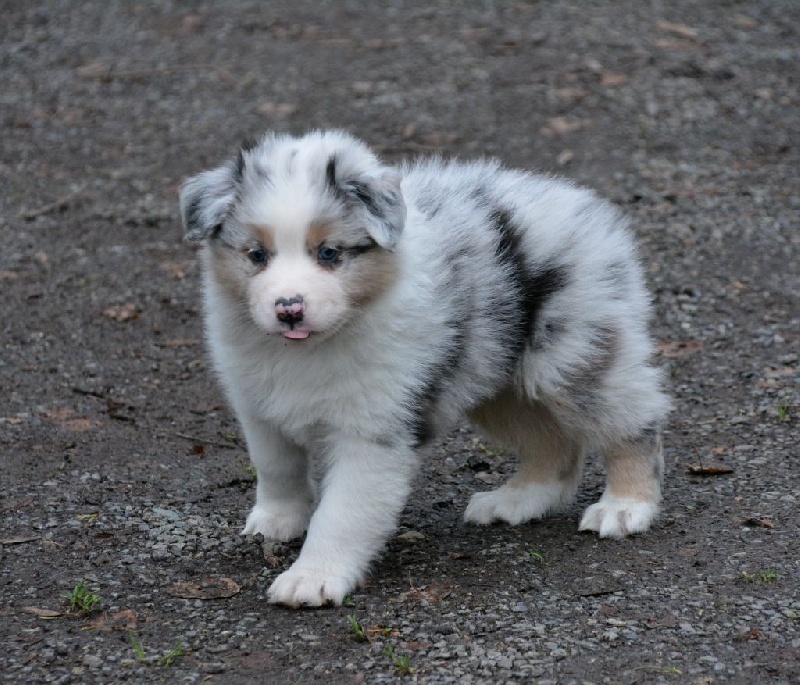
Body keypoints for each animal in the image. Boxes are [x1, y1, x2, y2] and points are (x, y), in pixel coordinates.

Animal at [179, 130, 671, 607]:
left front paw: (312, 579)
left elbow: (342, 512)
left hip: (578, 357)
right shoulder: (258, 407)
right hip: (498, 379)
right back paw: (514, 501)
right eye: (256, 255)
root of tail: (577, 199)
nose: (289, 310)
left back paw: (625, 507)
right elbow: (276, 468)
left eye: (330, 253)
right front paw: (277, 521)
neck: (311, 349)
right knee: (554, 446)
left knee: (634, 424)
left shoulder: (373, 433)